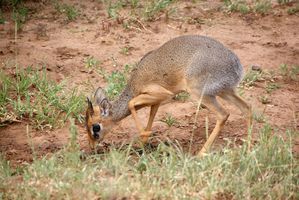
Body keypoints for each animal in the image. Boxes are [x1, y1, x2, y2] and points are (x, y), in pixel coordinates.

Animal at [85, 35, 252, 155]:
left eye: (96, 127)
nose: (92, 146)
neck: (135, 83)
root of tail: (237, 66)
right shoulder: (156, 101)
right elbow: (150, 115)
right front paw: (143, 141)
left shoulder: (163, 94)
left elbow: (131, 103)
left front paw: (144, 134)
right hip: (225, 91)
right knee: (247, 108)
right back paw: (249, 148)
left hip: (200, 93)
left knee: (223, 114)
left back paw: (201, 153)